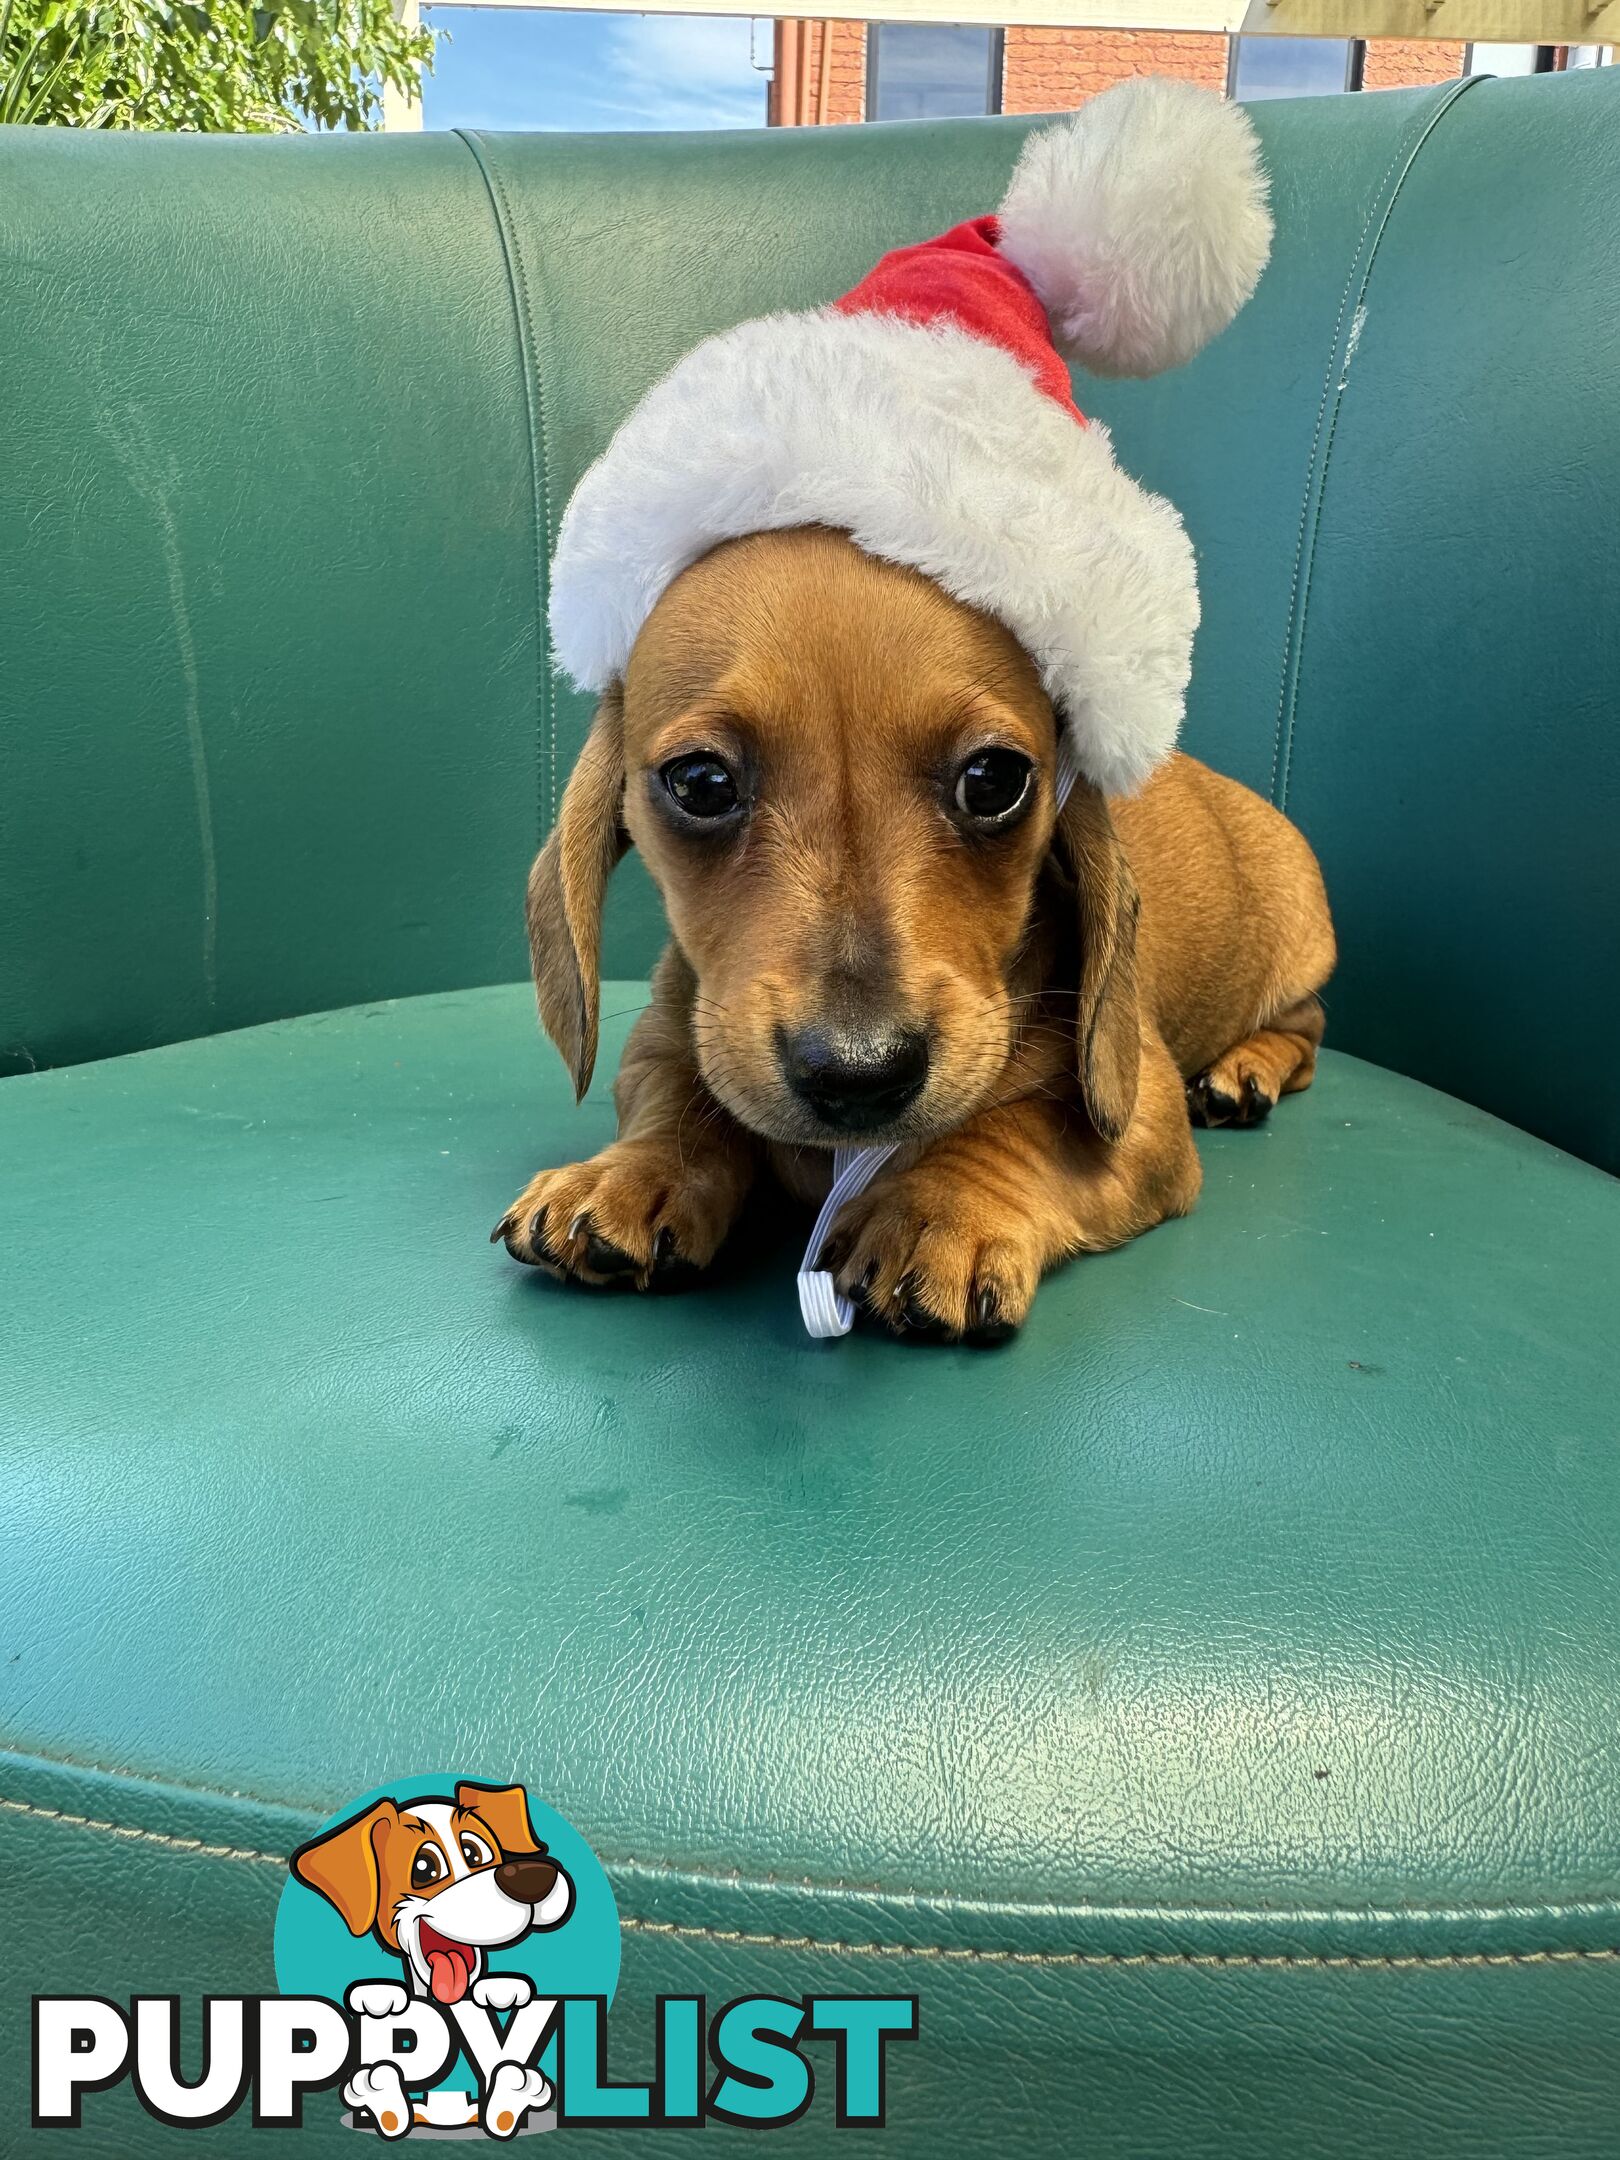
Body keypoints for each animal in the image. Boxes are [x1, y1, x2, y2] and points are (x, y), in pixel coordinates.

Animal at [494, 522, 1330, 1330]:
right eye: (700, 782)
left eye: (994, 779)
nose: (860, 1074)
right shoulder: (666, 1041)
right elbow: (677, 1103)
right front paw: (632, 1172)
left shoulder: (1141, 1108)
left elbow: (1017, 1128)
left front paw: (939, 1210)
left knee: (1307, 1030)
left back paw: (1243, 1072)